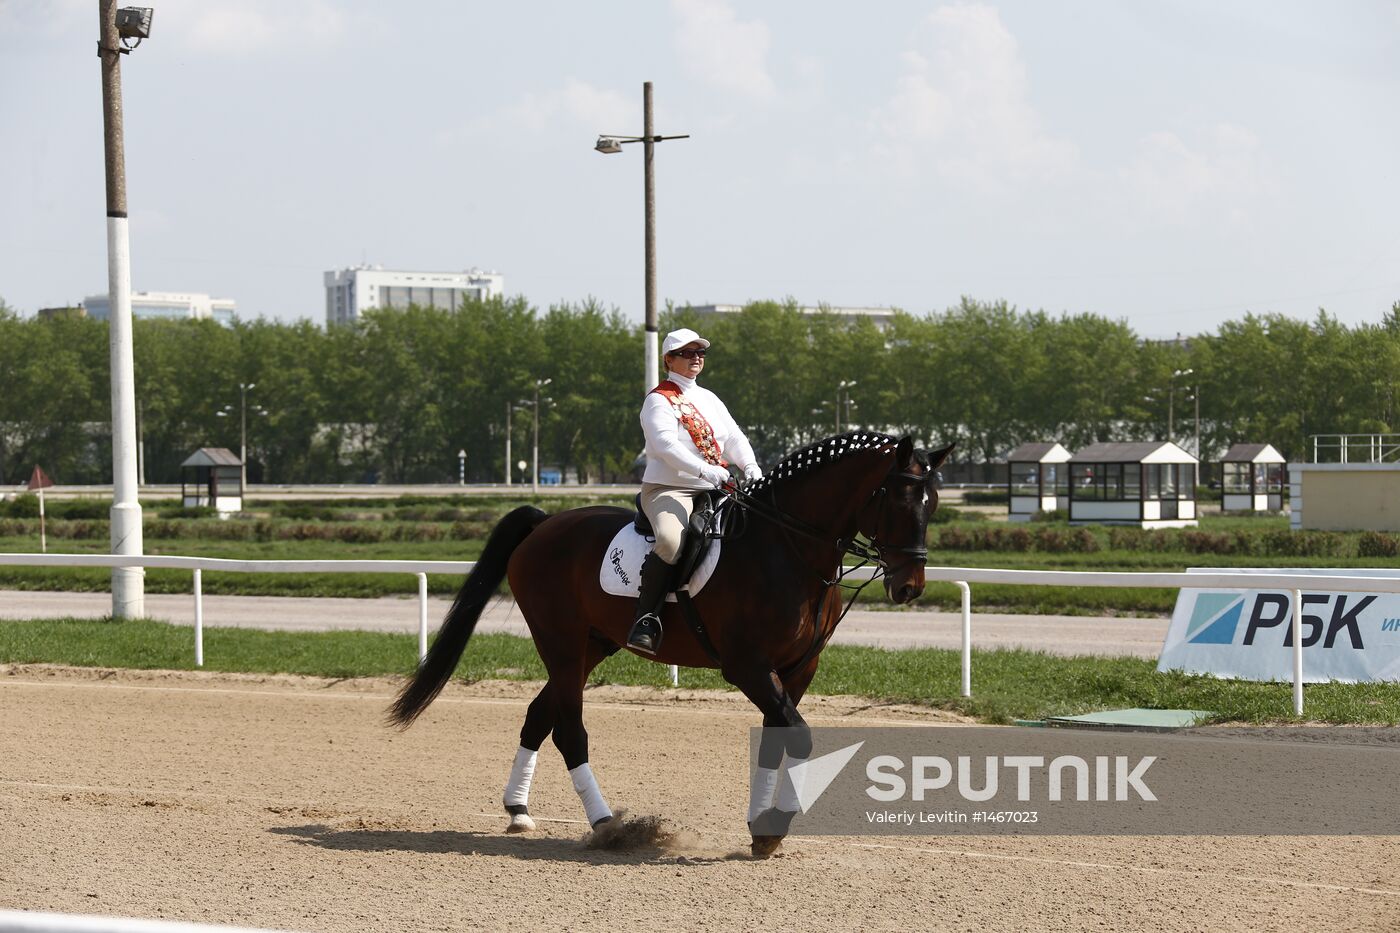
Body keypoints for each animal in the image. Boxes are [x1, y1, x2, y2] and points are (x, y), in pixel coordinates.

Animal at [386, 428, 952, 851]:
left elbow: (779, 737)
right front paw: (773, 827)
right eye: (900, 500)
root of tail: (546, 523)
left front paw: (760, 830)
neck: (787, 548)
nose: (909, 586)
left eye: (933, 503)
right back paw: (607, 824)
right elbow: (799, 735)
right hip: (561, 643)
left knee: (539, 714)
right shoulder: (747, 666)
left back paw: (519, 810)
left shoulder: (796, 669)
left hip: (592, 646)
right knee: (569, 730)